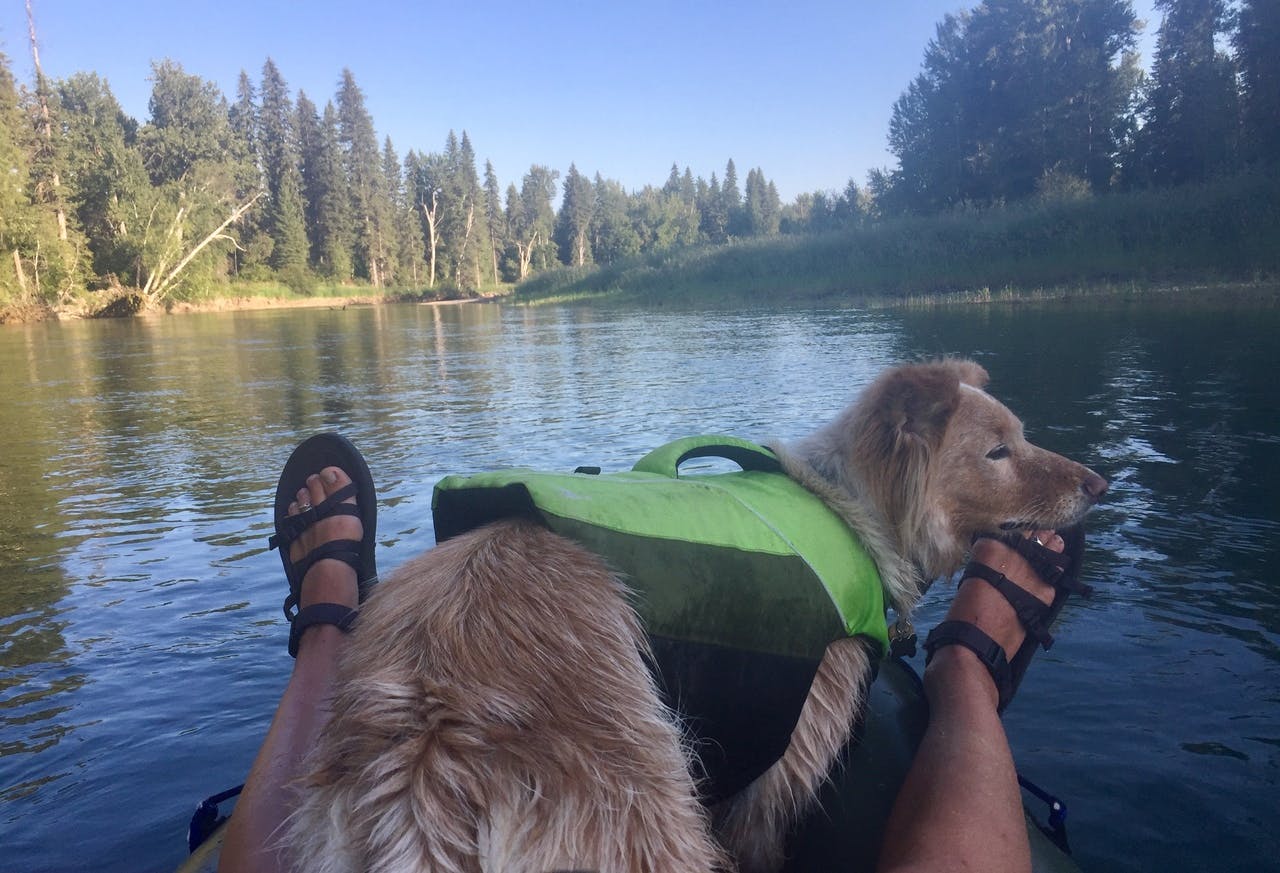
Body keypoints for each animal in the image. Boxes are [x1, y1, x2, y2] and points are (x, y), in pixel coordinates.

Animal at [285, 355, 1105, 865]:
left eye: (1022, 436)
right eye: (997, 452)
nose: (1098, 485)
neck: (852, 512)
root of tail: (425, 731)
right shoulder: (777, 778)